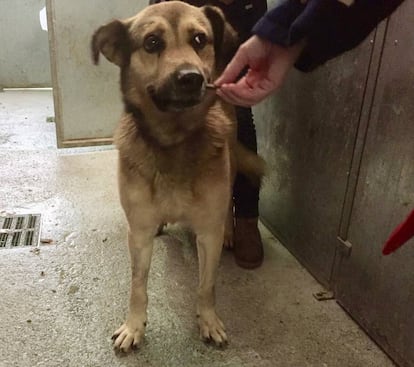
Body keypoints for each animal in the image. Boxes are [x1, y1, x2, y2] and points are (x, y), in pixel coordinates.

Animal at [92, 0, 264, 354]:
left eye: (199, 39)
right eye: (152, 42)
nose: (191, 78)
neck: (173, 141)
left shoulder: (207, 234)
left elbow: (206, 286)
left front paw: (208, 321)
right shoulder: (138, 233)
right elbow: (137, 286)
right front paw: (134, 327)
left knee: (229, 202)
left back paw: (231, 232)